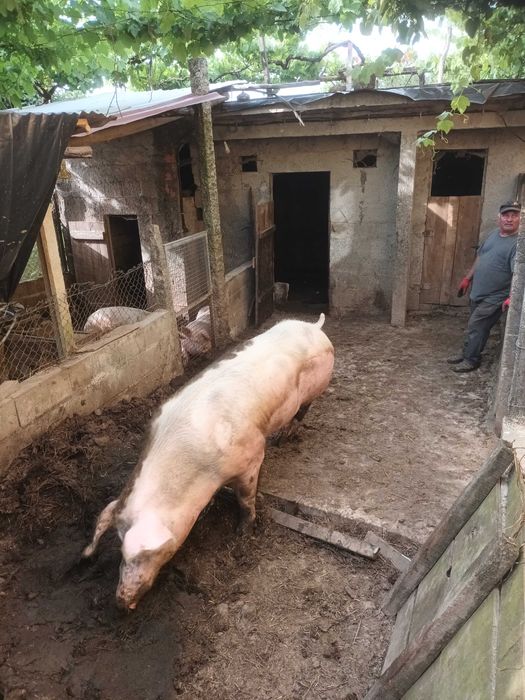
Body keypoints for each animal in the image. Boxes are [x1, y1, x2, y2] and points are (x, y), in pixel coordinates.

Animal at [83, 313, 334, 610]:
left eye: (143, 555)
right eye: (119, 549)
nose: (122, 601)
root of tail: (315, 328)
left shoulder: (251, 455)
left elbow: (246, 498)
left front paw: (242, 532)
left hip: (315, 389)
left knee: (303, 411)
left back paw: (284, 439)